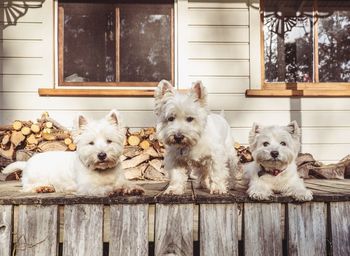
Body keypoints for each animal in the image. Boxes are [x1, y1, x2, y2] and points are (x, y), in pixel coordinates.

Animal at [1, 110, 144, 196]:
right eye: (91, 143)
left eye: (109, 141)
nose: (102, 155)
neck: (103, 171)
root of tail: (26, 163)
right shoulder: (86, 186)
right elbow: (102, 188)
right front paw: (113, 190)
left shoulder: (120, 178)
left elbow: (125, 183)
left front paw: (133, 188)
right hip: (35, 177)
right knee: (27, 187)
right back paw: (43, 188)